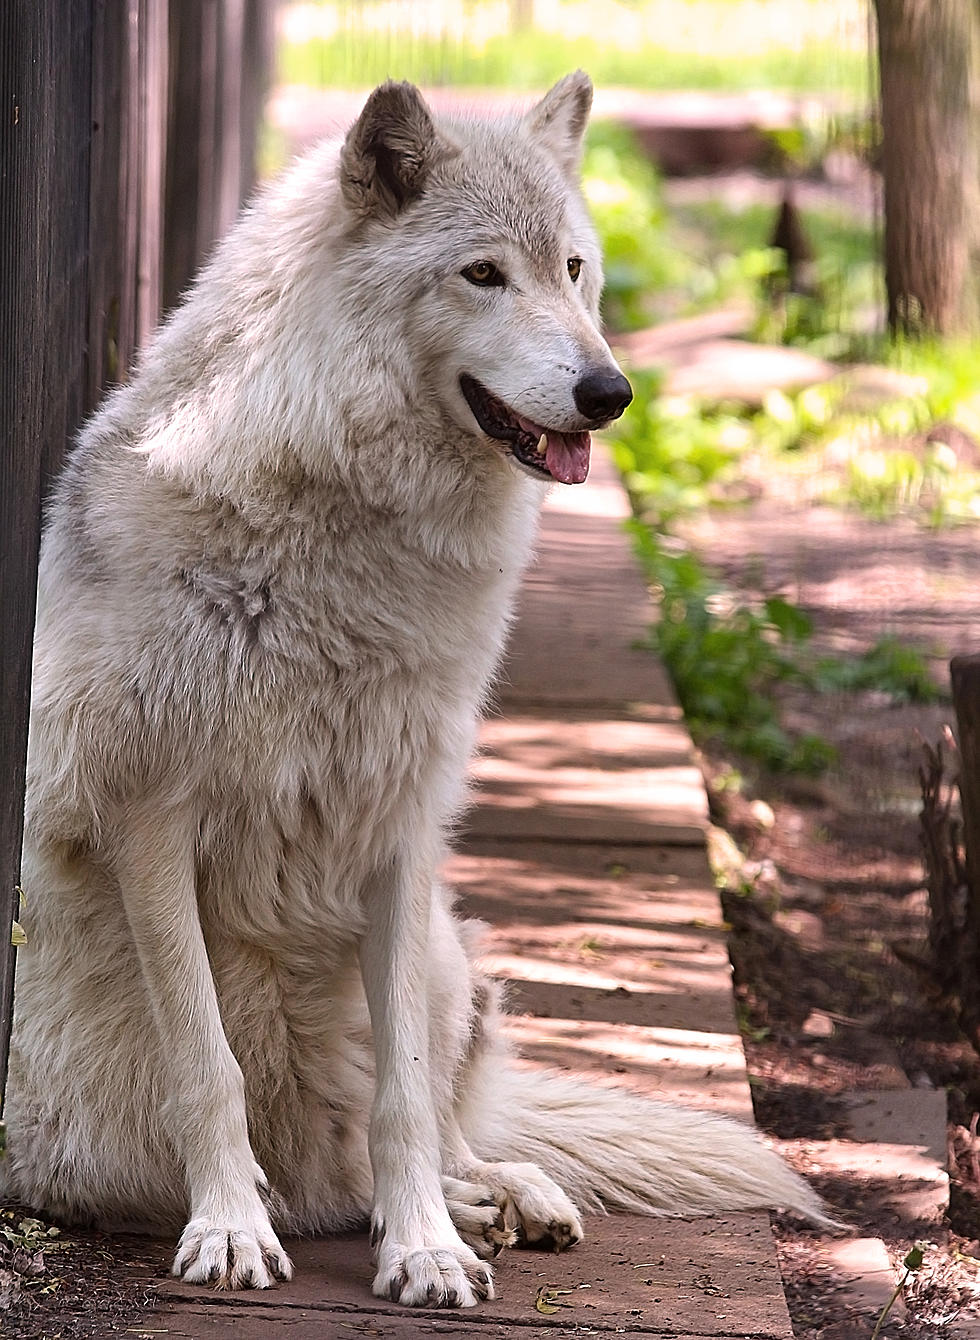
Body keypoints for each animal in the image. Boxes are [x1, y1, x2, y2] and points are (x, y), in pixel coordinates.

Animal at [3, 73, 825, 1307]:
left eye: (573, 270)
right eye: (482, 273)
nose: (611, 391)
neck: (341, 539)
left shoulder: (397, 828)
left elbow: (403, 1092)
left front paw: (427, 1246)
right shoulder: (147, 818)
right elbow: (207, 1064)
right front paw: (232, 1230)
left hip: (448, 949)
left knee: (443, 1130)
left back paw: (499, 1202)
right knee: (326, 1163)